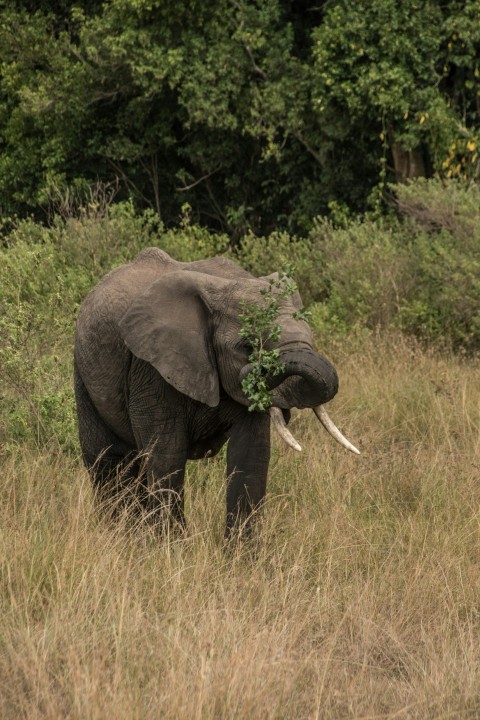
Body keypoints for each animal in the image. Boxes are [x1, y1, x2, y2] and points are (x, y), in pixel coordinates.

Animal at [74, 247, 359, 538]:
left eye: (309, 336)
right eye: (246, 346)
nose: (257, 372)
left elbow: (250, 456)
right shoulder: (150, 367)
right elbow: (166, 457)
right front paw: (171, 546)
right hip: (83, 372)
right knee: (108, 461)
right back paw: (118, 535)